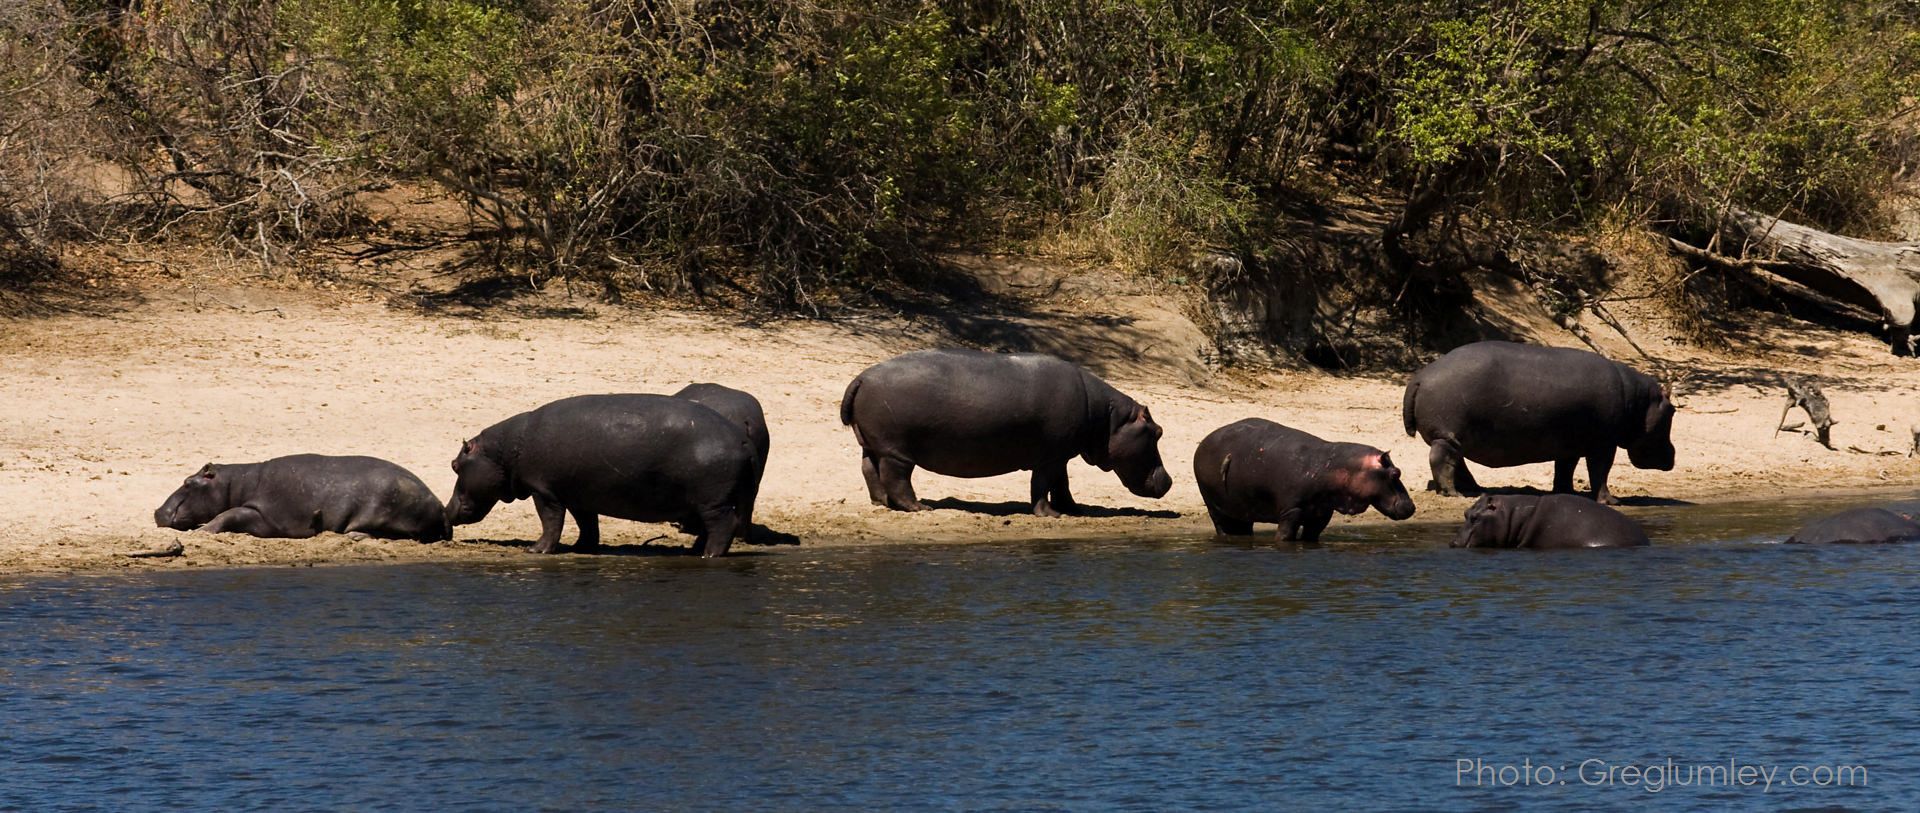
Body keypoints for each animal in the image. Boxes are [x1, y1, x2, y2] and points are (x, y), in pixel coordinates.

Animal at [153, 454, 449, 541]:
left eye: (187, 482)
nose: (156, 511)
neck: (234, 484)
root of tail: (439, 504)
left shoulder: (264, 514)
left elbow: (228, 513)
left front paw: (202, 530)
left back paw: (355, 536)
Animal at [446, 394, 757, 557]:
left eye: (454, 465)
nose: (446, 511)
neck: (503, 450)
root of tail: (742, 439)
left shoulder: (544, 491)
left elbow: (551, 522)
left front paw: (536, 550)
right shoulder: (577, 495)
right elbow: (587, 524)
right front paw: (582, 547)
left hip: (712, 502)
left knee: (722, 526)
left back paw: (707, 556)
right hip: (706, 503)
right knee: (710, 528)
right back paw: (695, 552)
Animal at [840, 348, 1173, 516]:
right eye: (1157, 431)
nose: (1169, 481)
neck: (1108, 418)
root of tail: (861, 377)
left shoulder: (1061, 455)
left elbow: (1061, 483)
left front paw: (1073, 509)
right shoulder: (1049, 457)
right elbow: (1041, 484)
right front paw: (1051, 515)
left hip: (871, 444)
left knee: (869, 470)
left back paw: (881, 503)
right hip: (896, 451)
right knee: (896, 478)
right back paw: (919, 507)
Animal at [1193, 418, 1416, 541]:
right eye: (1396, 473)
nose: (1412, 506)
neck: (1332, 466)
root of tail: (1203, 441)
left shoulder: (1321, 514)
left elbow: (1310, 537)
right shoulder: (1291, 511)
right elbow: (1284, 537)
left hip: (1241, 511)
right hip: (1213, 505)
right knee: (1221, 526)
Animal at [1404, 341, 1675, 505]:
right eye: (1673, 411)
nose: (1672, 456)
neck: (1639, 402)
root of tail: (1420, 376)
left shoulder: (1571, 445)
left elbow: (1565, 469)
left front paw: (1567, 493)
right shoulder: (1603, 444)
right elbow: (1600, 471)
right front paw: (1612, 502)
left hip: (1456, 439)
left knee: (1457, 463)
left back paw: (1475, 489)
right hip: (1446, 436)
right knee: (1442, 461)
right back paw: (1454, 494)